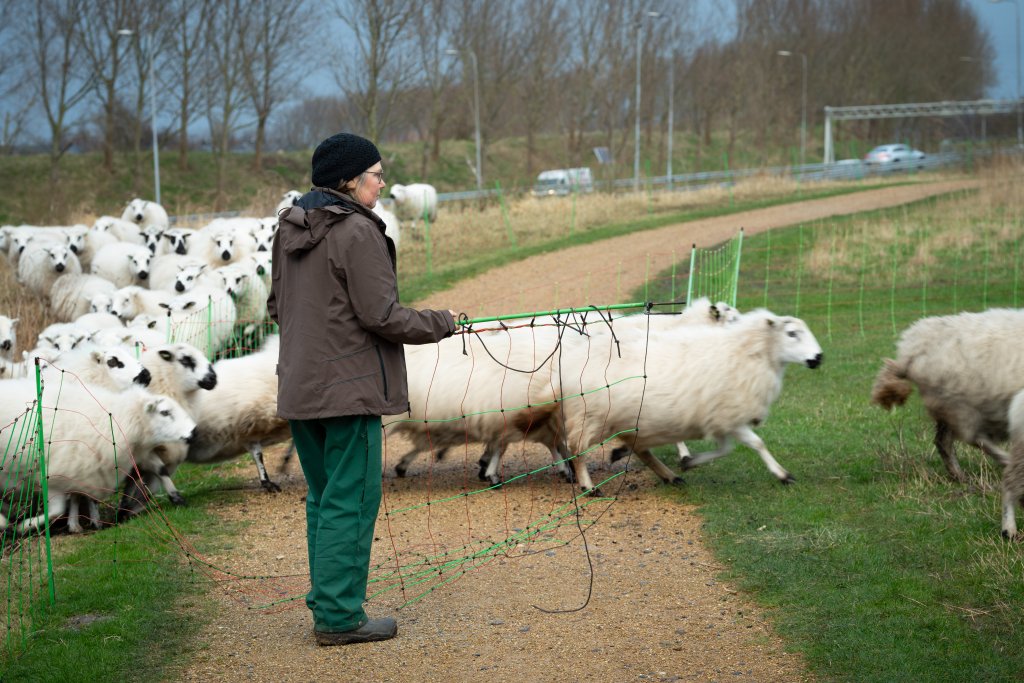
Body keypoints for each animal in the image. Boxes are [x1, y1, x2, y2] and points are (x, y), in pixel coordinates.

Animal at [544, 313, 823, 493]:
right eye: (792, 333)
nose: (819, 358)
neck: (749, 353)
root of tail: (571, 360)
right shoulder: (728, 416)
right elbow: (756, 444)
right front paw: (783, 475)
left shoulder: (720, 419)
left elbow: (726, 449)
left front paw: (690, 462)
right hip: (591, 415)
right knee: (577, 449)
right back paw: (588, 485)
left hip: (626, 419)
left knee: (640, 448)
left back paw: (667, 474)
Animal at [872, 307, 1024, 483]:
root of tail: (909, 351)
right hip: (959, 405)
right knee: (972, 438)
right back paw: (1000, 463)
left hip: (947, 406)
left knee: (942, 441)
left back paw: (958, 475)